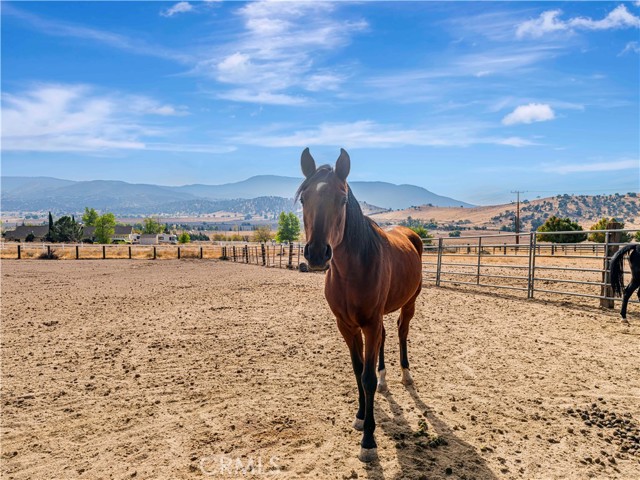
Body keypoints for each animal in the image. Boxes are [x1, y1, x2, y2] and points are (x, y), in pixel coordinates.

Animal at [296, 148, 424, 464]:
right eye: (304, 199)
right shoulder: (348, 326)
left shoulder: (369, 323)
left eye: (342, 200)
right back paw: (385, 379)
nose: (317, 254)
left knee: (401, 332)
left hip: (409, 304)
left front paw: (369, 440)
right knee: (386, 338)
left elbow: (366, 378)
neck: (351, 271)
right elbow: (357, 371)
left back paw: (405, 375)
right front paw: (361, 415)